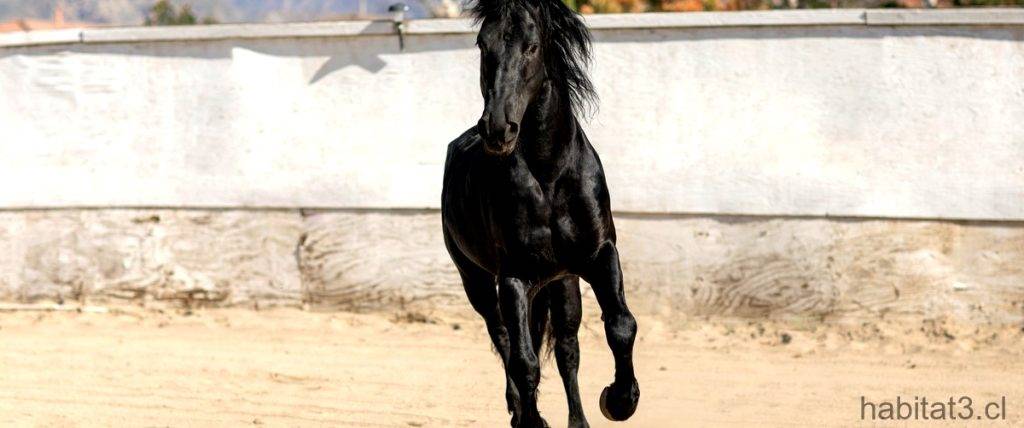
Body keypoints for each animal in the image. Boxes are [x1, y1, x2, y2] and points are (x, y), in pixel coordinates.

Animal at [442, 0, 634, 425]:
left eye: (531, 47)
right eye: (482, 45)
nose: (497, 129)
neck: (549, 177)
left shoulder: (601, 254)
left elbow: (620, 325)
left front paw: (618, 401)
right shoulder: (514, 277)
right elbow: (523, 361)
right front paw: (531, 419)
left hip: (562, 282)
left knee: (566, 349)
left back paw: (579, 420)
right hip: (477, 281)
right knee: (503, 339)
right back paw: (518, 410)